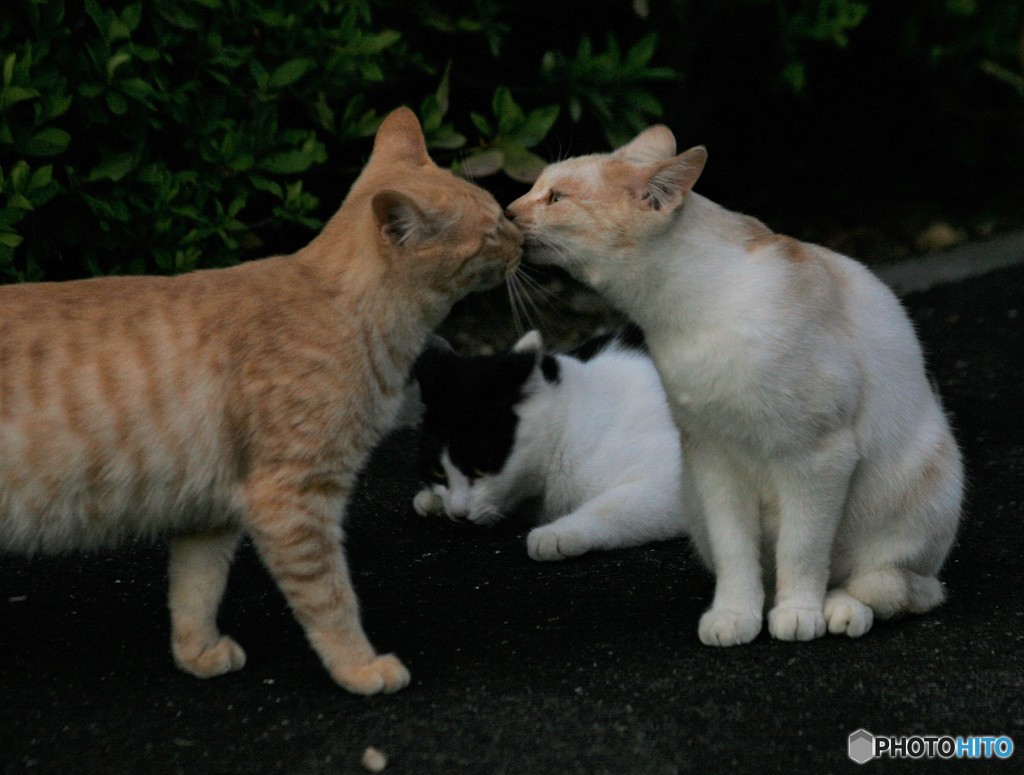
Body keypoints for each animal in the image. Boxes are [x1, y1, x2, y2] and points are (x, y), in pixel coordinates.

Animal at [0, 105, 524, 692]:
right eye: (491, 230)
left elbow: (196, 591)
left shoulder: (210, 514)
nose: (521, 236)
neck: (351, 313)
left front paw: (197, 653)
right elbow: (331, 599)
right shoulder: (293, 501)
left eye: (502, 214)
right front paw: (359, 666)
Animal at [407, 325, 688, 556]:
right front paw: (433, 500)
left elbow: (612, 508)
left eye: (480, 468)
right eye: (438, 472)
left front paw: (558, 533)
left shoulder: (672, 478)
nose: (458, 513)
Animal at [507, 126, 962, 642]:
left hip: (927, 484)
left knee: (893, 584)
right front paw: (735, 614)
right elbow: (735, 555)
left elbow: (803, 550)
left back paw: (840, 607)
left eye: (556, 197)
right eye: (536, 186)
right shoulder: (712, 460)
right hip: (692, 495)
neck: (688, 315)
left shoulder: (817, 458)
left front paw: (798, 611)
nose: (508, 211)